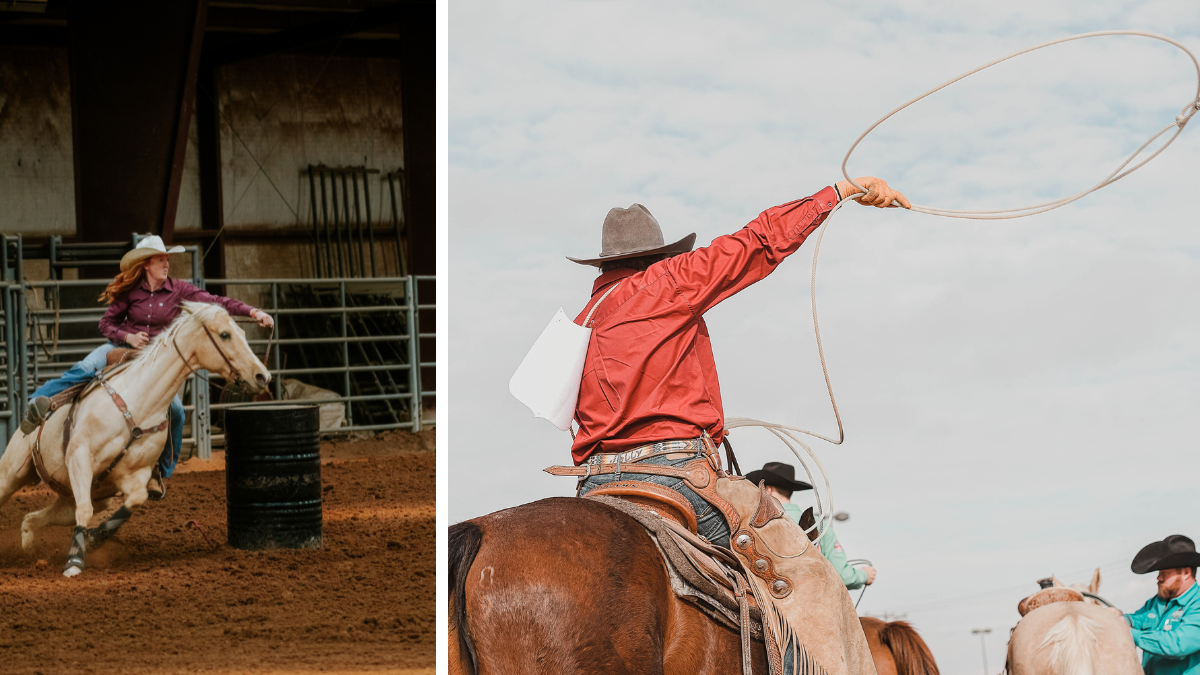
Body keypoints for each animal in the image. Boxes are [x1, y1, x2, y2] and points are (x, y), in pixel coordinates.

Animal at [0, 302, 267, 576]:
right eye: (225, 334)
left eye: (243, 333)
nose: (262, 376)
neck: (139, 403)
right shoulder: (79, 457)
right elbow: (84, 511)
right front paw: (74, 561)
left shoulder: (134, 475)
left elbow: (132, 502)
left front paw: (94, 538)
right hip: (10, 476)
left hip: (79, 497)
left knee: (34, 518)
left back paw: (29, 547)